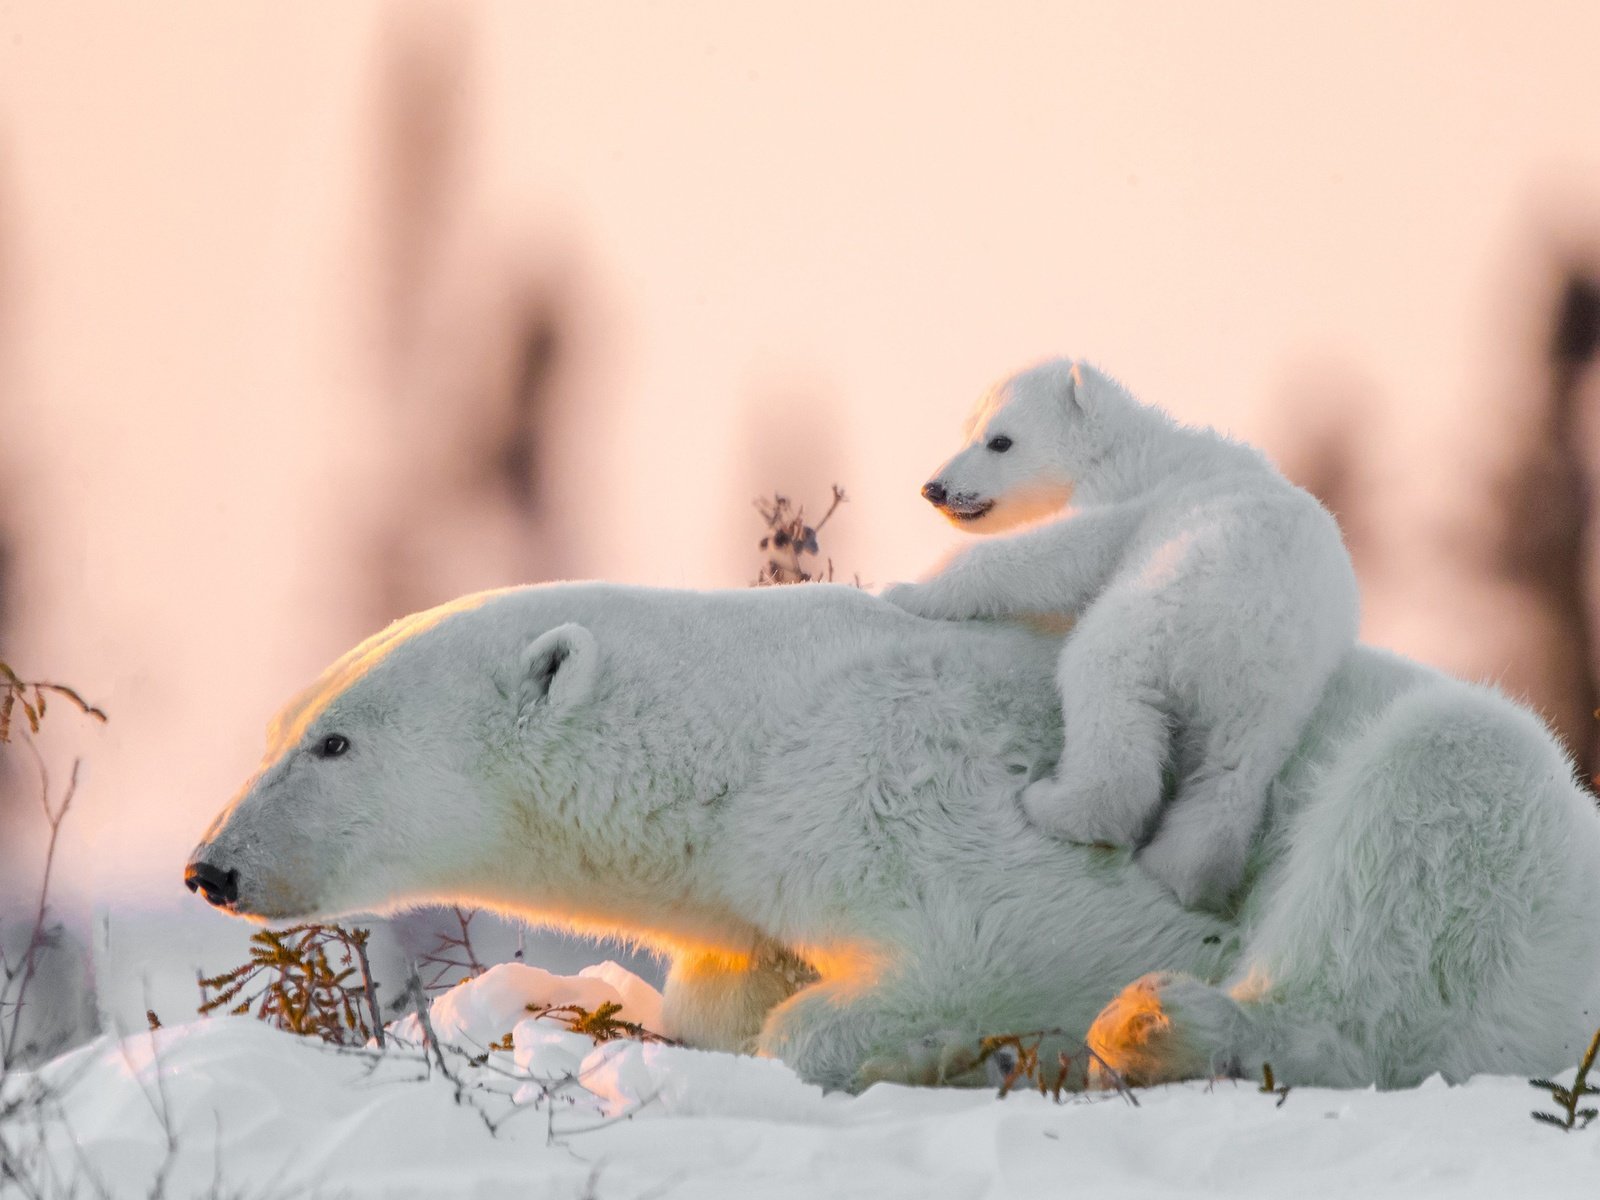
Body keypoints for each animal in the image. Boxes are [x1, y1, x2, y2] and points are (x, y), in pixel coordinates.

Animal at [190, 579, 1600, 1094]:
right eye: (280, 725)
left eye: (335, 744)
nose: (213, 866)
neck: (750, 733)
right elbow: (721, 987)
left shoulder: (910, 785)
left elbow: (1026, 941)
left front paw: (919, 1040)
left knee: (1439, 799)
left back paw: (1165, 1027)